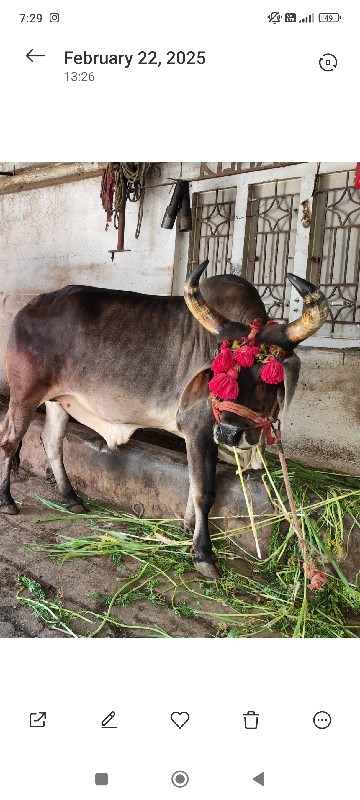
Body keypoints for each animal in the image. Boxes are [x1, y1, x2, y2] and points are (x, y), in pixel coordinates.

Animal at [0, 260, 328, 576]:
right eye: (219, 371)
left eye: (269, 376)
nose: (229, 433)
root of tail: (28, 307)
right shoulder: (199, 430)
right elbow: (203, 492)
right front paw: (204, 554)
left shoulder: (204, 438)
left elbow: (193, 487)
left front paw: (188, 529)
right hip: (25, 394)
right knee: (9, 441)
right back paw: (8, 500)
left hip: (58, 401)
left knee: (51, 441)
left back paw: (71, 498)